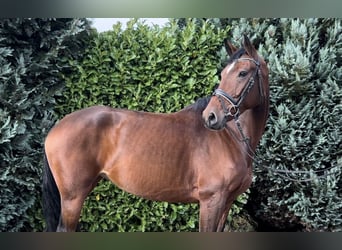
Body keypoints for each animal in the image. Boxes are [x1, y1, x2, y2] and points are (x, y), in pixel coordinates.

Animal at [42, 35, 268, 232]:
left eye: (242, 73)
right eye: (223, 74)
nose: (211, 117)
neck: (232, 138)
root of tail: (56, 128)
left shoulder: (227, 202)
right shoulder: (211, 200)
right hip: (73, 197)